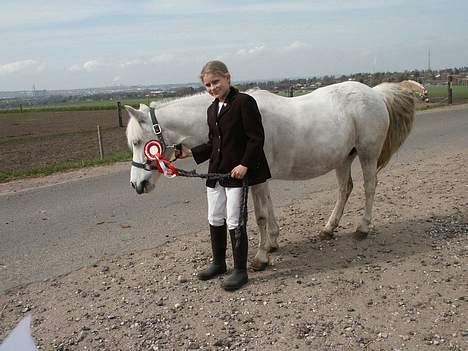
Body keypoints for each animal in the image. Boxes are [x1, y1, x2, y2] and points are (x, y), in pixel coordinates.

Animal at [124, 81, 414, 270]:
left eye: (139, 142)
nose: (137, 185)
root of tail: (374, 93)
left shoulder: (255, 175)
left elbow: (261, 214)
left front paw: (262, 257)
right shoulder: (258, 177)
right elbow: (268, 209)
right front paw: (273, 242)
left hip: (367, 154)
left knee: (369, 186)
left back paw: (362, 228)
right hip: (343, 158)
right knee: (345, 189)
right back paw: (328, 229)